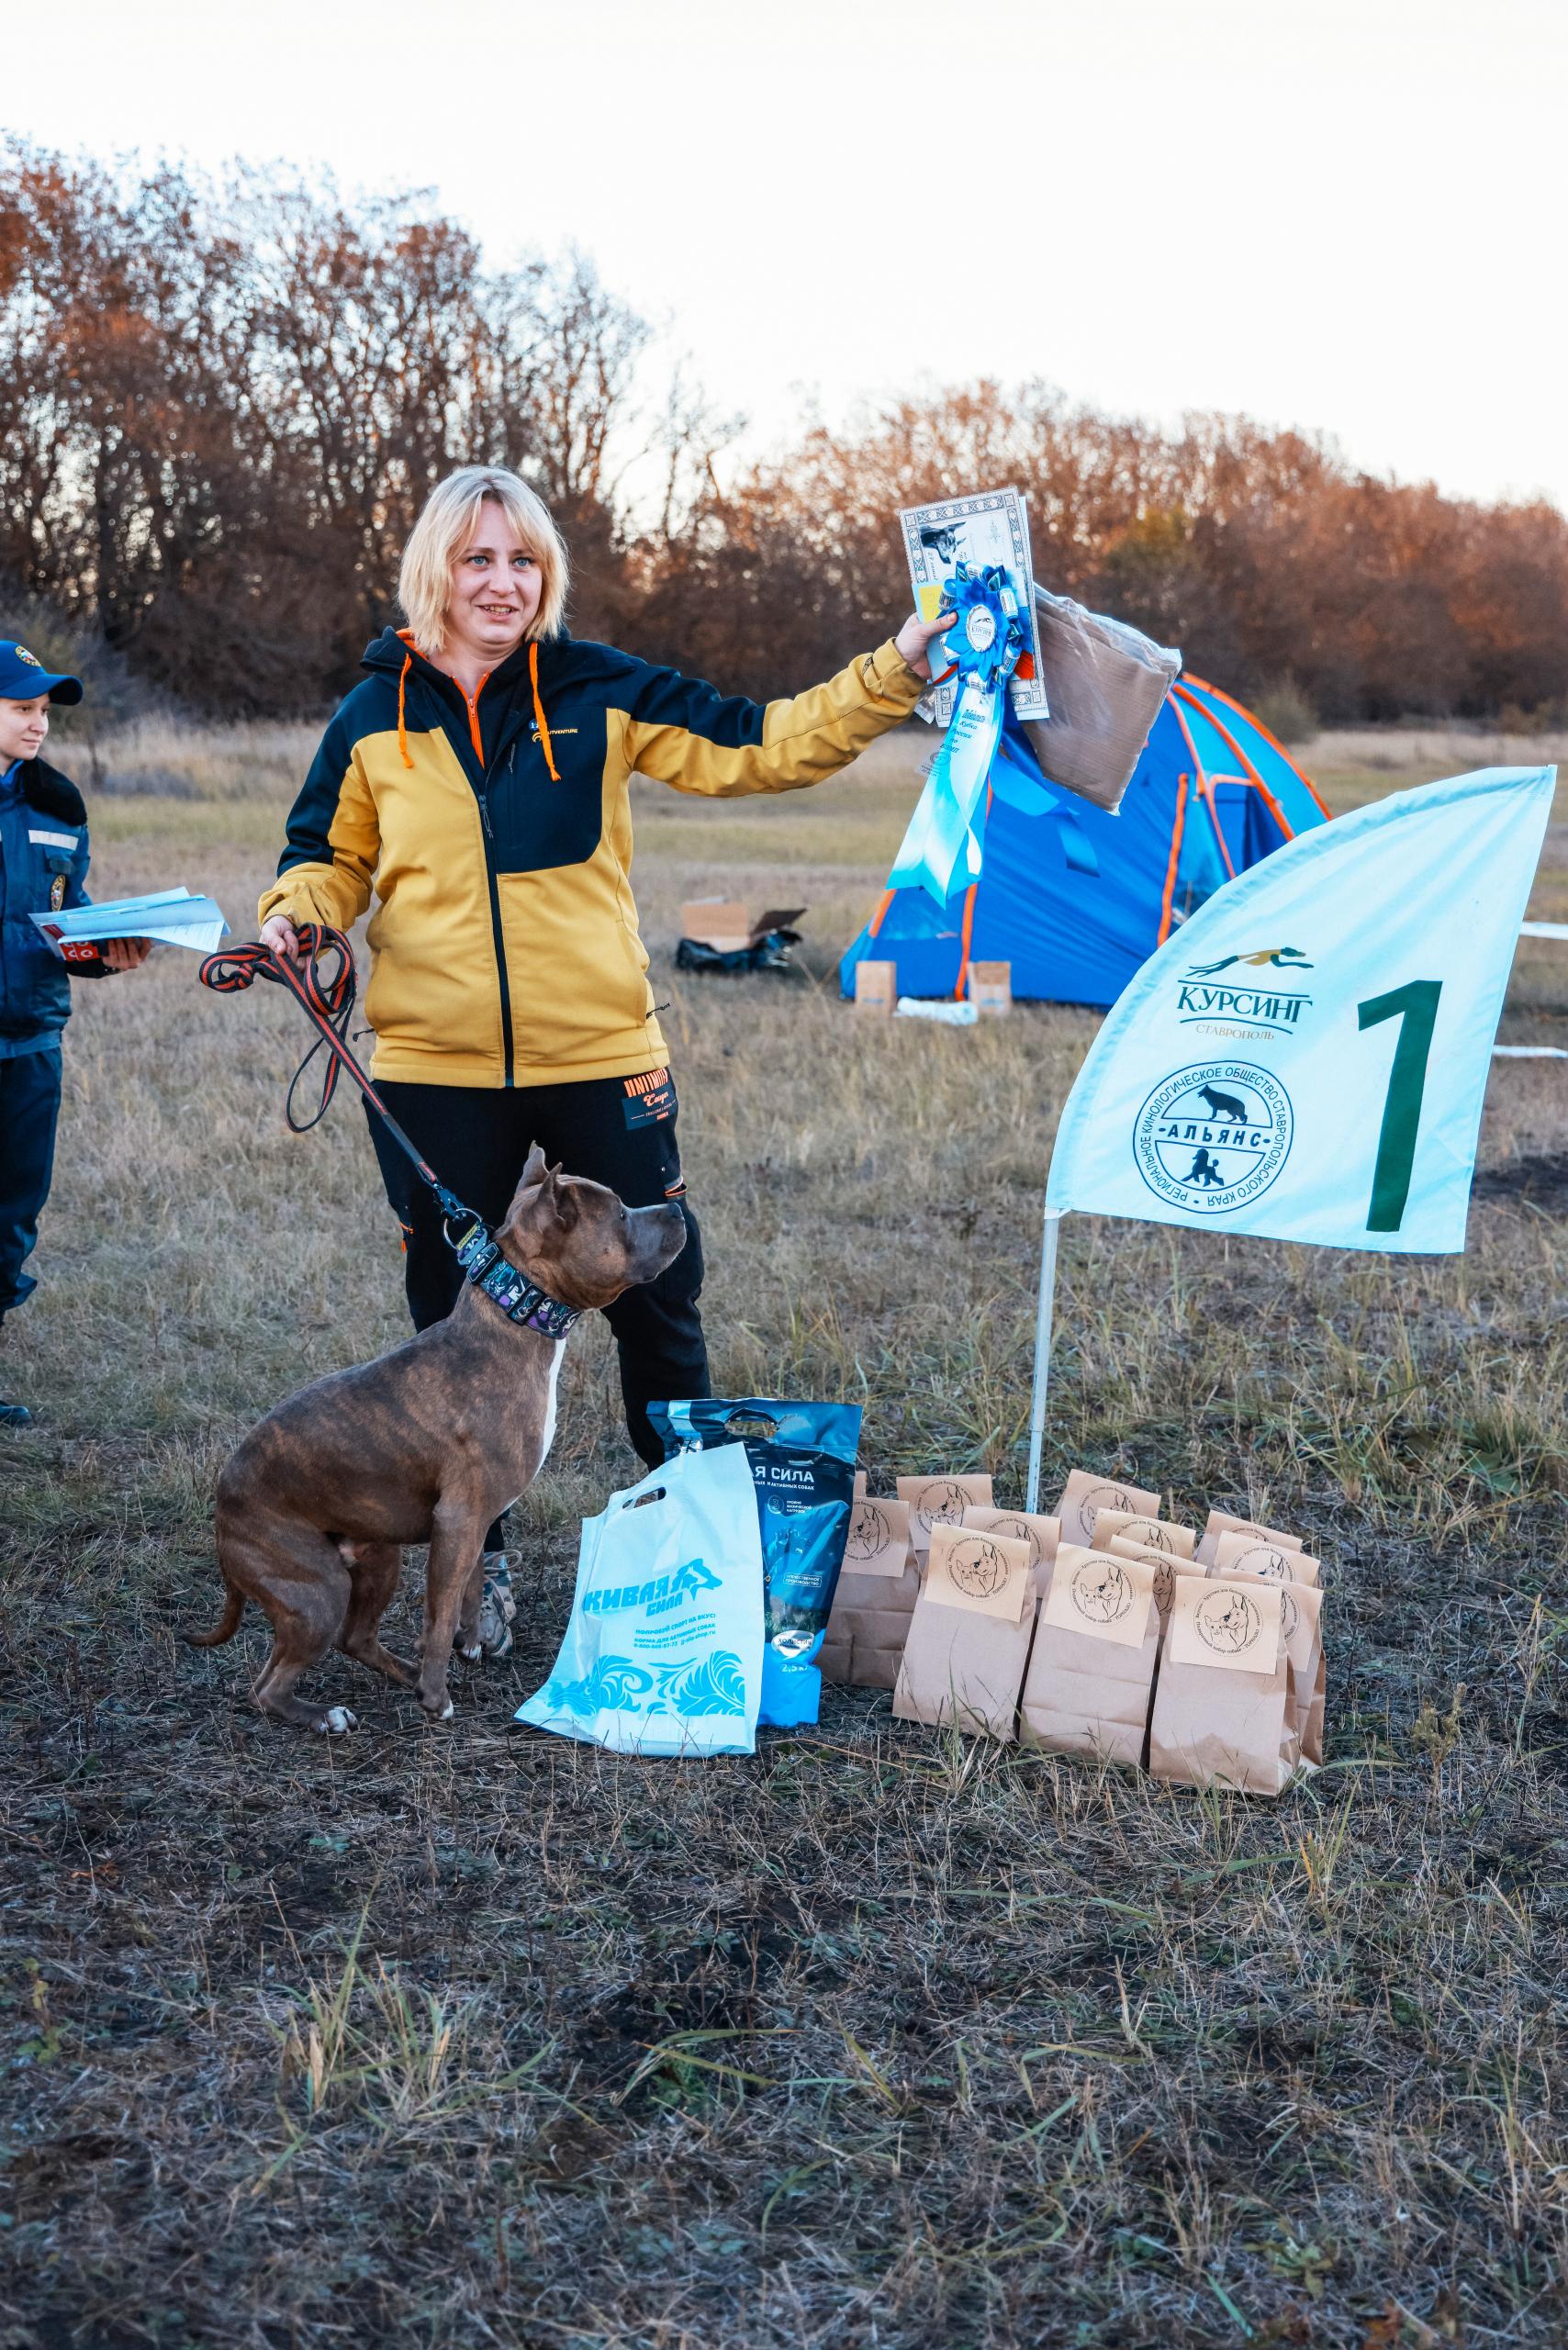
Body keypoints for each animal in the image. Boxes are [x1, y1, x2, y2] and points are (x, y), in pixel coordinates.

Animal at [187, 1147, 686, 1739]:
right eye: (621, 1215)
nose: (678, 1211)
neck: (514, 1320)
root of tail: (222, 1504)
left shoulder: (473, 1523)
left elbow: (466, 1590)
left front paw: (466, 1646)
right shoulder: (460, 1519)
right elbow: (441, 1609)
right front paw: (436, 1696)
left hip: (375, 1554)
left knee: (354, 1638)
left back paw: (402, 1672)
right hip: (318, 1590)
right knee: (267, 1688)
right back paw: (326, 1715)